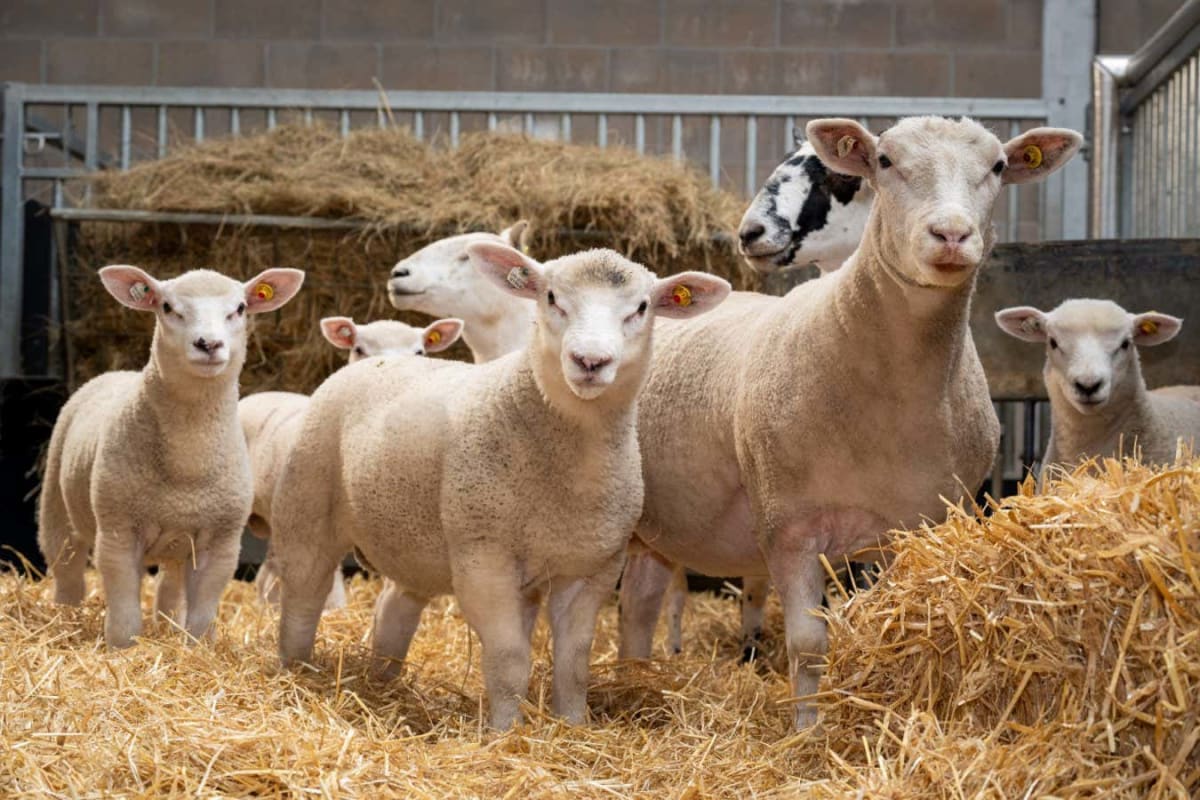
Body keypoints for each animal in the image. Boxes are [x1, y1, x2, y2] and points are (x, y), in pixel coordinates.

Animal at [37, 265, 304, 648]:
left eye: (239, 308)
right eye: (166, 307)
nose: (209, 344)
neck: (187, 464)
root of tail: (116, 373)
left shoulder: (221, 543)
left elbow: (202, 613)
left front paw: (196, 648)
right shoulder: (118, 532)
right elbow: (124, 613)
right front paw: (123, 649)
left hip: (177, 542)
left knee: (169, 585)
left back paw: (166, 624)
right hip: (57, 503)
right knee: (66, 566)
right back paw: (65, 614)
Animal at [272, 246, 730, 729]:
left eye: (641, 307)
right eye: (551, 297)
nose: (590, 362)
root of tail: (374, 362)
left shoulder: (592, 569)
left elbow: (574, 661)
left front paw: (572, 725)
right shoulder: (484, 560)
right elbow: (509, 658)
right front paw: (505, 731)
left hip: (414, 541)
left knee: (394, 608)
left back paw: (383, 681)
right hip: (306, 505)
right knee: (302, 598)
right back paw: (295, 673)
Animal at [620, 116, 1082, 727]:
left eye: (999, 167)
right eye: (883, 161)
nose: (951, 235)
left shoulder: (911, 530)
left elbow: (889, 623)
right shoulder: (789, 525)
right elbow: (808, 644)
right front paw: (807, 729)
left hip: (657, 528)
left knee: (638, 605)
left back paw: (635, 680)